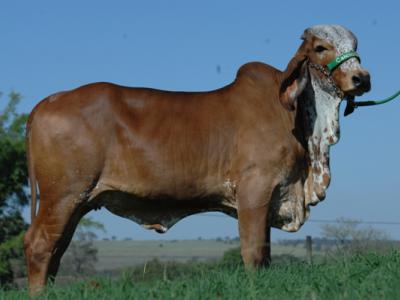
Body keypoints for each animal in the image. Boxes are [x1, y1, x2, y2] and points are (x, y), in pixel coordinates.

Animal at [24, 24, 368, 294]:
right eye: (321, 47)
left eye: (355, 47)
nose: (361, 78)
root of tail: (48, 102)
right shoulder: (254, 191)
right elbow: (254, 253)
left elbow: (266, 255)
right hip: (63, 195)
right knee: (40, 245)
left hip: (77, 201)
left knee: (56, 249)